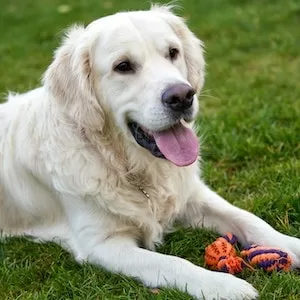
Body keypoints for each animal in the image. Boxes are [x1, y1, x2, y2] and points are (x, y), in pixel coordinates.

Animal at [0, 5, 300, 300]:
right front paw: (223, 285)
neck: (130, 165)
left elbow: (248, 219)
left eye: (173, 52)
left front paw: (292, 245)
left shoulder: (192, 196)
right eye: (123, 66)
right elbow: (170, 262)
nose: (182, 96)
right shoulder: (102, 243)